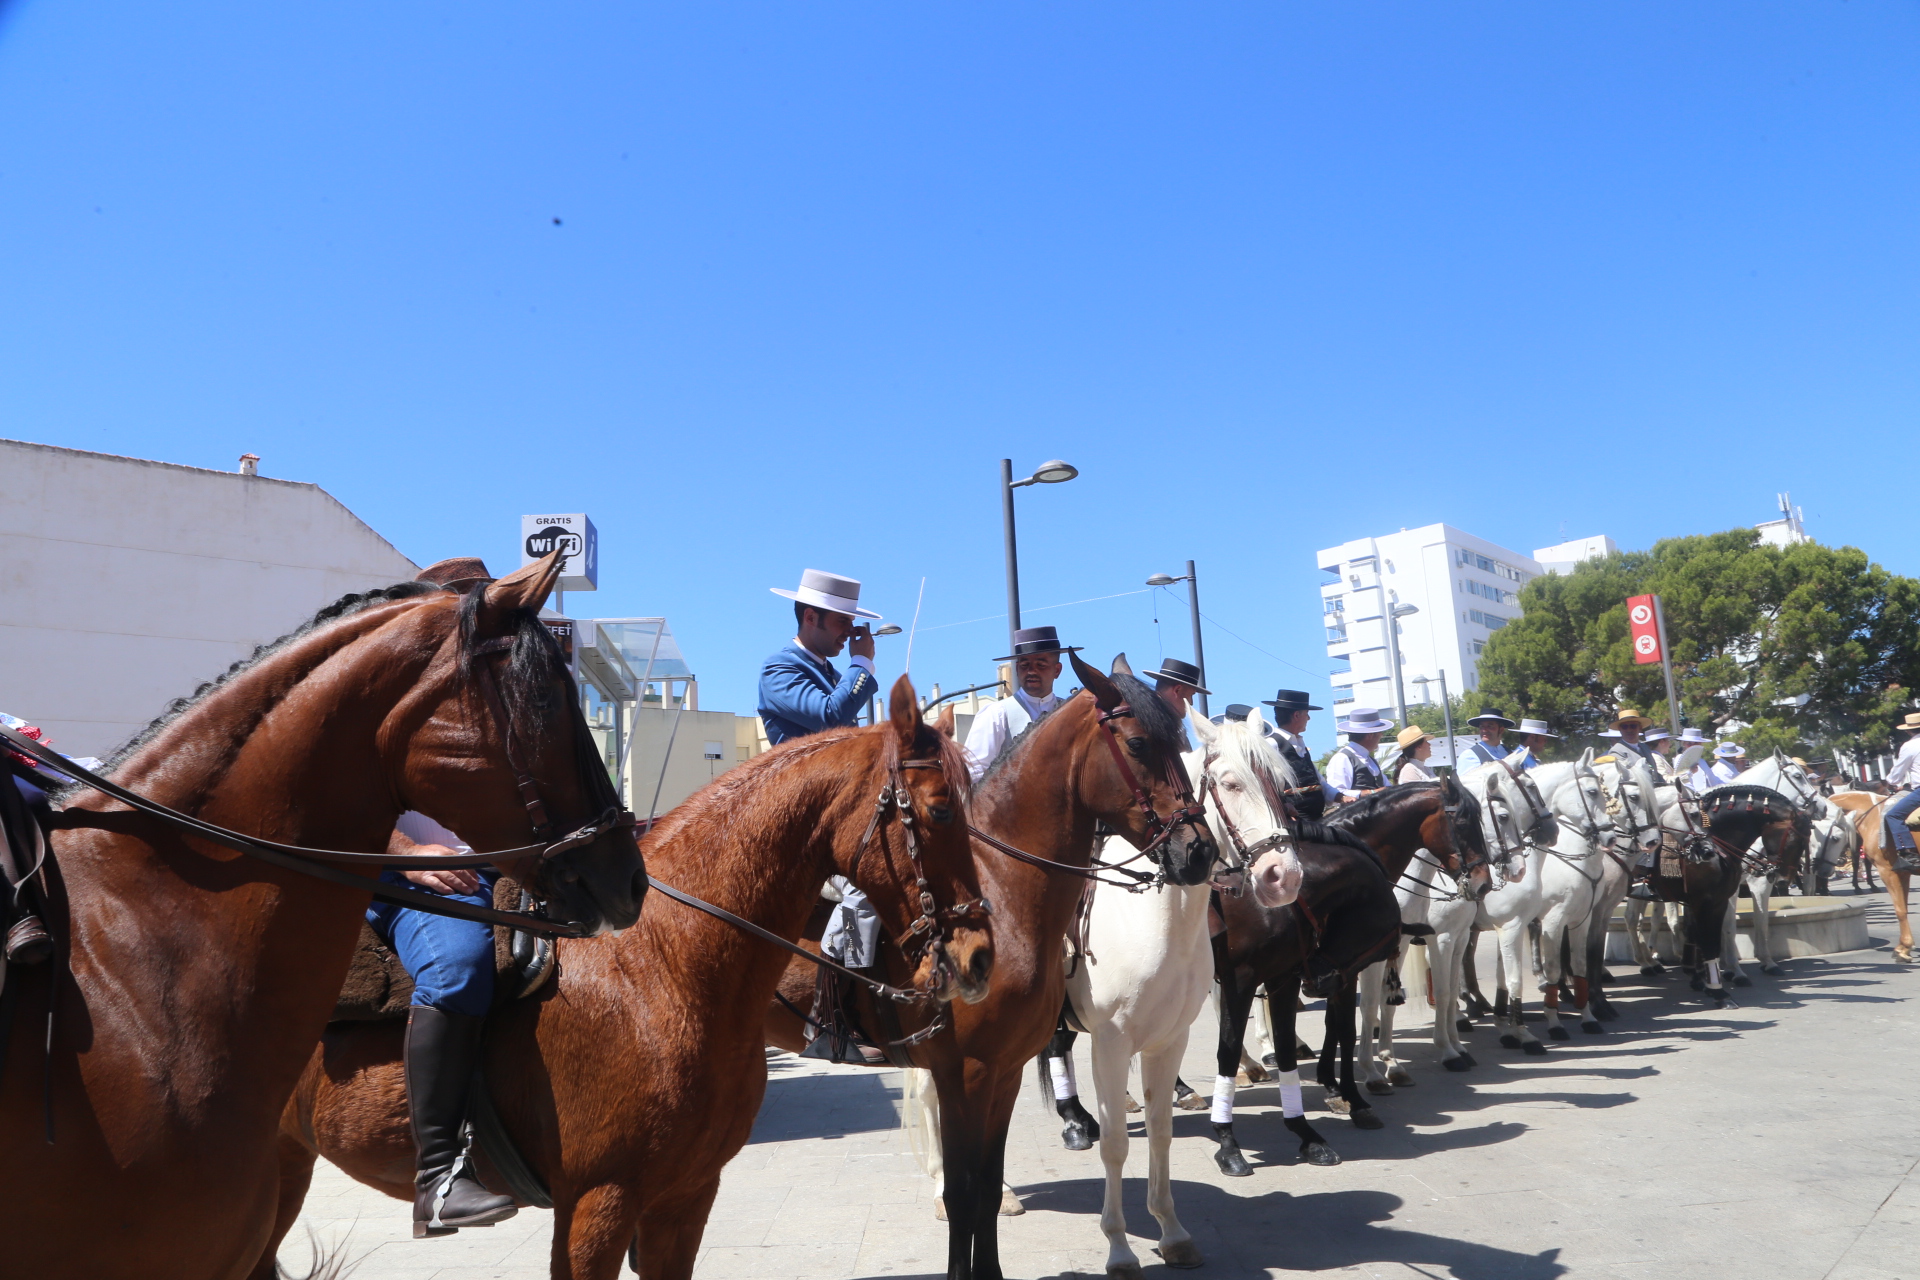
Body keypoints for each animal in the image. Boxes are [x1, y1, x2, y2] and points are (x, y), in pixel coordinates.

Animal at [760, 656, 1213, 1274]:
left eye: (1184, 742)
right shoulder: (966, 1070)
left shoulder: (1006, 1068)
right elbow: (964, 1190)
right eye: (1140, 743)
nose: (1200, 852)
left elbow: (988, 1184)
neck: (1002, 890)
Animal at [1059, 710, 1297, 1280]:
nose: (1285, 877)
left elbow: (1162, 1132)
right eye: (1230, 784)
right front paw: (1120, 1248)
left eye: (1282, 786)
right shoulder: (1110, 1044)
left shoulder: (1168, 1040)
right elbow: (1117, 1144)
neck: (1154, 919)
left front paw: (1171, 1232)